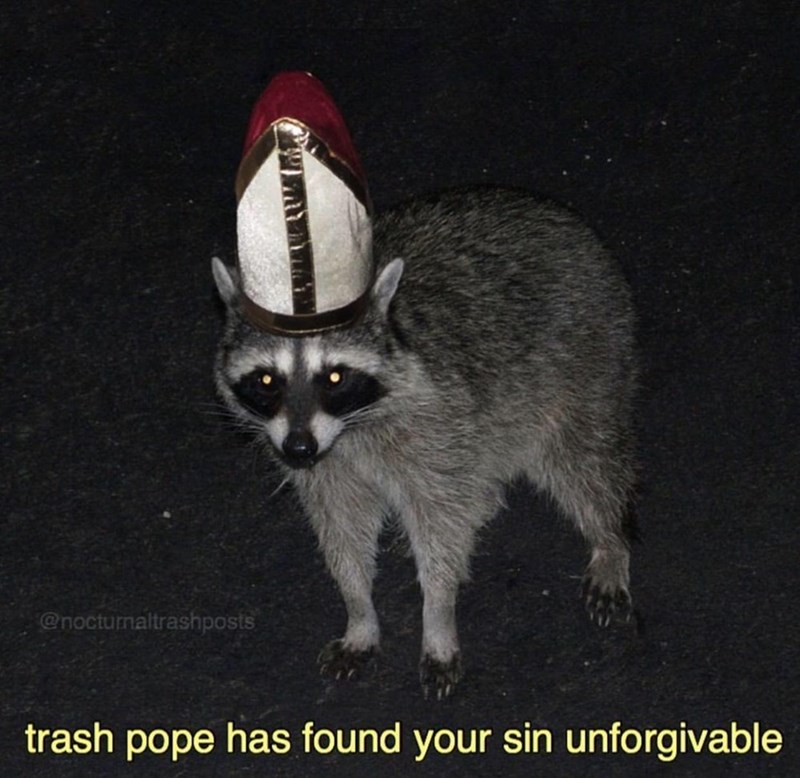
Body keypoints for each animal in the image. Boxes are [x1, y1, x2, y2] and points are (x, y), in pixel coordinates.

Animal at [212, 187, 637, 698]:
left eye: (334, 377)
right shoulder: (330, 464)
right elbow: (342, 530)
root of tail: (559, 215)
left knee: (583, 461)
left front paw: (437, 613)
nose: (298, 450)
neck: (350, 428)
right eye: (266, 380)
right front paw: (358, 609)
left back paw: (610, 539)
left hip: (587, 359)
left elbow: (440, 527)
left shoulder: (435, 421)